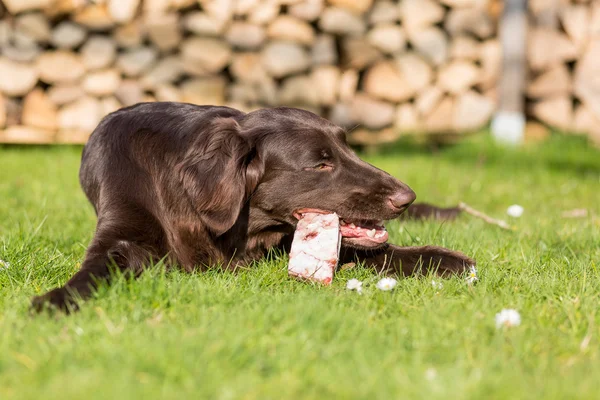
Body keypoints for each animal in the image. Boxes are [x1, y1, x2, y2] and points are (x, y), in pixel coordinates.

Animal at [31, 104, 474, 312]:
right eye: (321, 163)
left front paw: (443, 259)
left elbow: (377, 252)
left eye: (349, 149)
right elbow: (97, 268)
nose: (406, 197)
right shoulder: (121, 230)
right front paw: (55, 301)